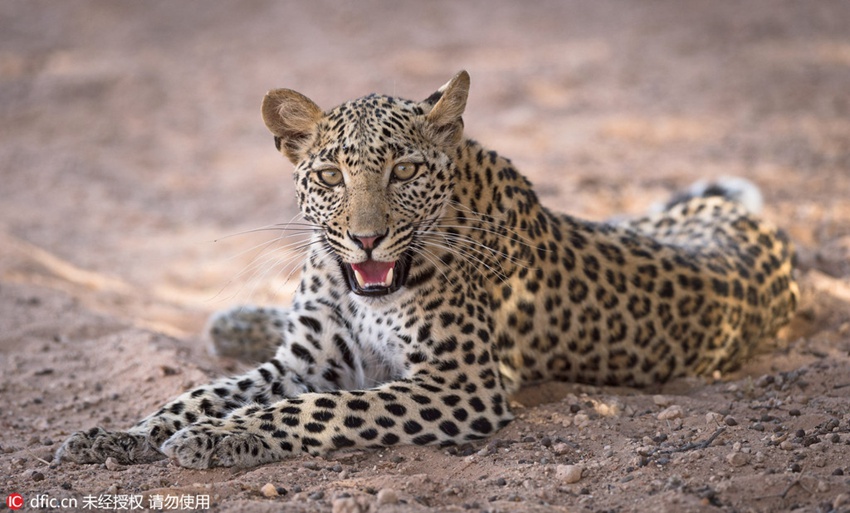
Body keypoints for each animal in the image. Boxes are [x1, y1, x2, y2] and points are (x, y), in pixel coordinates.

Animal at [57, 71, 798, 469]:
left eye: (405, 170)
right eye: (330, 175)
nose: (366, 239)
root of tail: (753, 227)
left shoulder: (461, 383)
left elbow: (323, 408)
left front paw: (220, 437)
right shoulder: (305, 360)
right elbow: (198, 393)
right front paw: (116, 436)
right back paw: (232, 321)